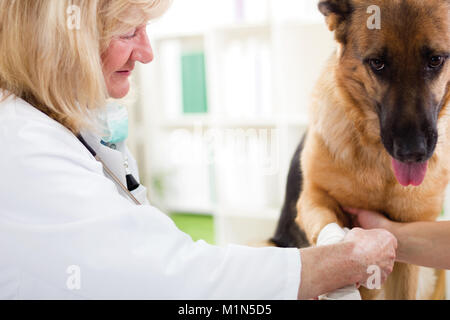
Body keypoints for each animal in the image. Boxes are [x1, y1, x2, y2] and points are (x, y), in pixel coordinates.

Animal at [270, 0, 450, 300]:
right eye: (377, 63)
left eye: (435, 59)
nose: (412, 152)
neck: (380, 163)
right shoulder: (312, 199)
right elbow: (332, 236)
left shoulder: (411, 235)